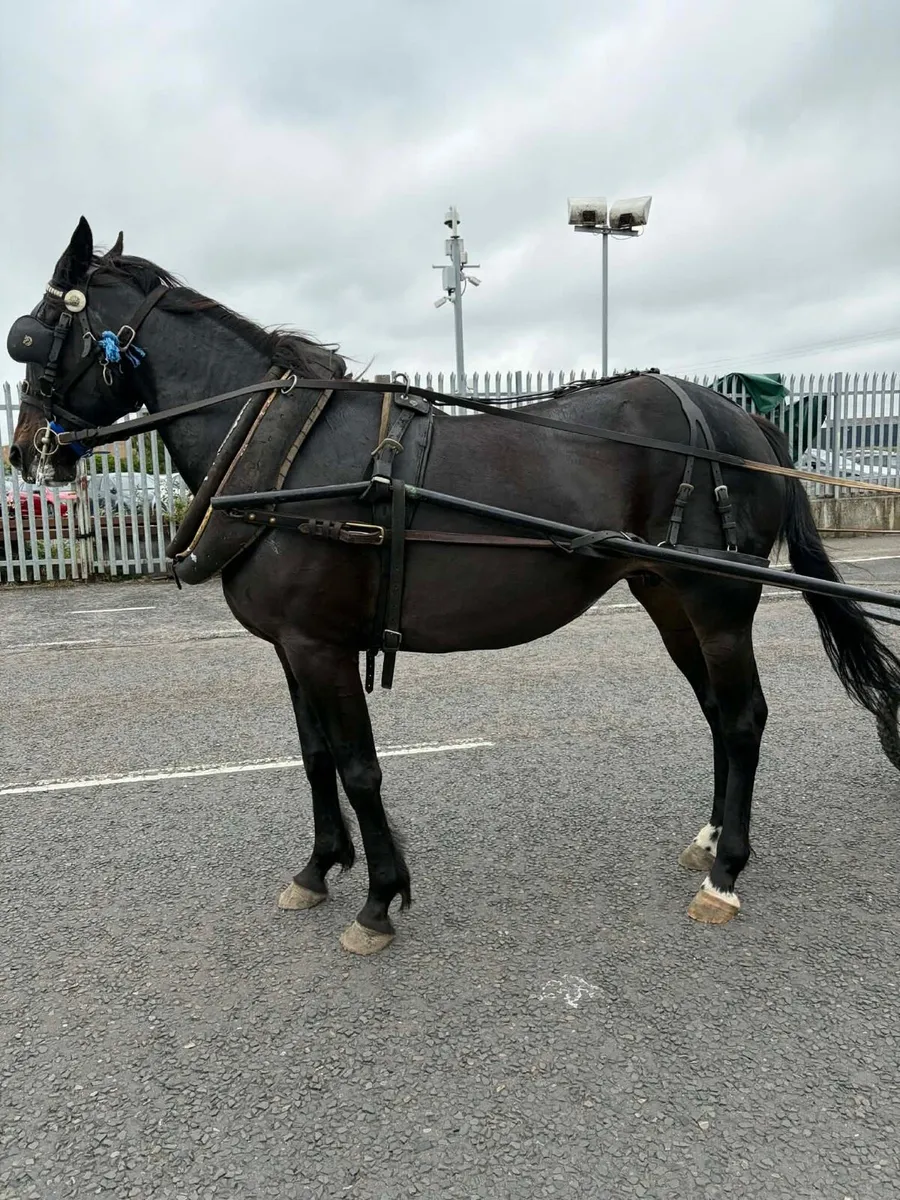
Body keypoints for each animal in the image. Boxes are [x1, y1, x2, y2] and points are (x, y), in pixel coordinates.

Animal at [8, 217, 900, 955]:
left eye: (31, 335)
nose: (24, 453)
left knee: (744, 718)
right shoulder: (293, 647)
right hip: (666, 595)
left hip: (718, 599)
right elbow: (313, 757)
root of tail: (740, 418)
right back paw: (711, 841)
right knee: (717, 711)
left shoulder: (322, 646)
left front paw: (378, 899)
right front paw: (318, 869)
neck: (285, 453)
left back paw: (727, 875)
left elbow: (360, 766)